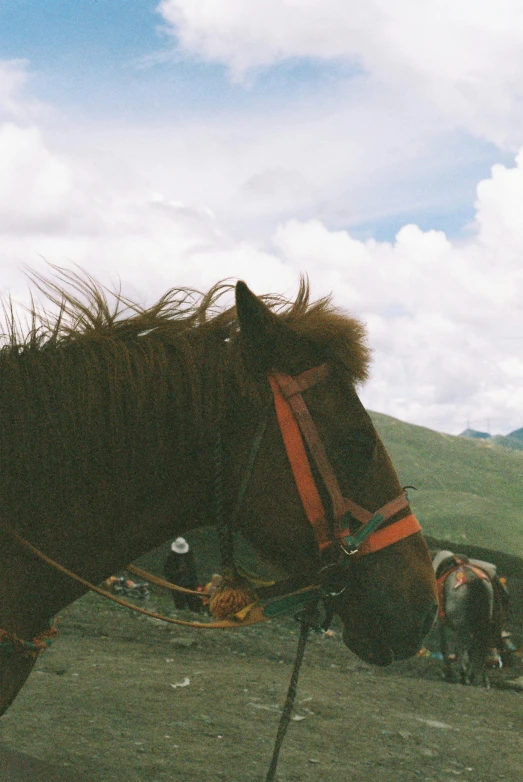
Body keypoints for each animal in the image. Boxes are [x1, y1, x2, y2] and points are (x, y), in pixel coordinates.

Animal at [434, 552, 512, 688]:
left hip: (462, 627)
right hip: (481, 626)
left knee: (464, 649)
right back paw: (476, 677)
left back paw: (465, 676)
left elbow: (445, 646)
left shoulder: (443, 622)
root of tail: (475, 581)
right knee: (476, 648)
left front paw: (448, 673)